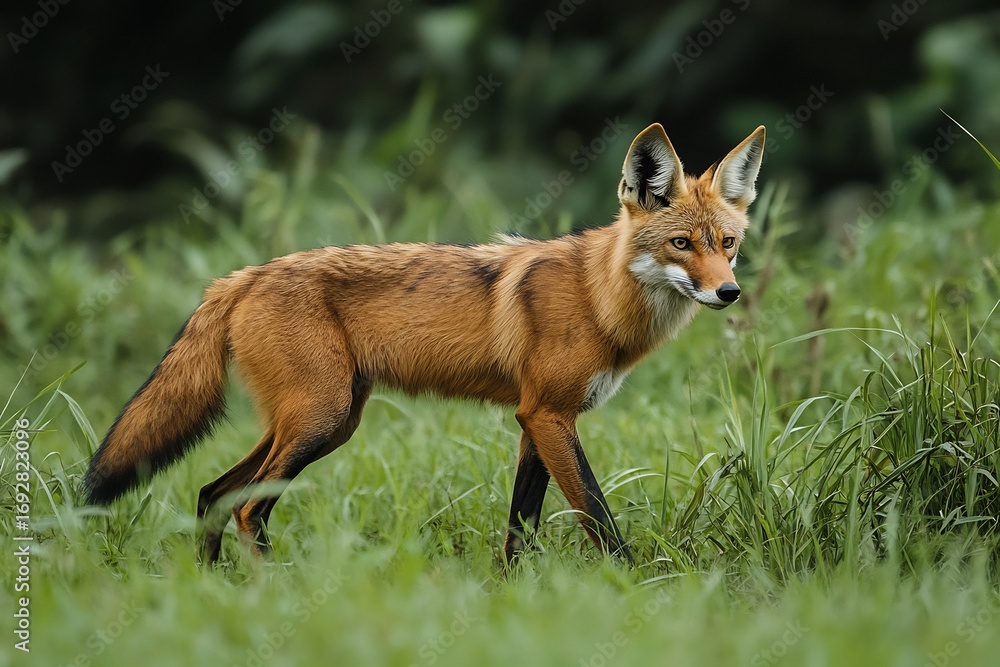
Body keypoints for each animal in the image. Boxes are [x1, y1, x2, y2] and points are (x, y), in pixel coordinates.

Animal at [83, 122, 765, 566]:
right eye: (682, 244)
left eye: (728, 244)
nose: (729, 292)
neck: (598, 300)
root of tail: (244, 274)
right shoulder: (549, 415)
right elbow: (599, 520)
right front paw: (640, 589)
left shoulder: (536, 420)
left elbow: (520, 527)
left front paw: (511, 599)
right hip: (319, 420)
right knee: (247, 508)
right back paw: (270, 592)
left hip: (323, 422)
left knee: (213, 494)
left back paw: (215, 589)